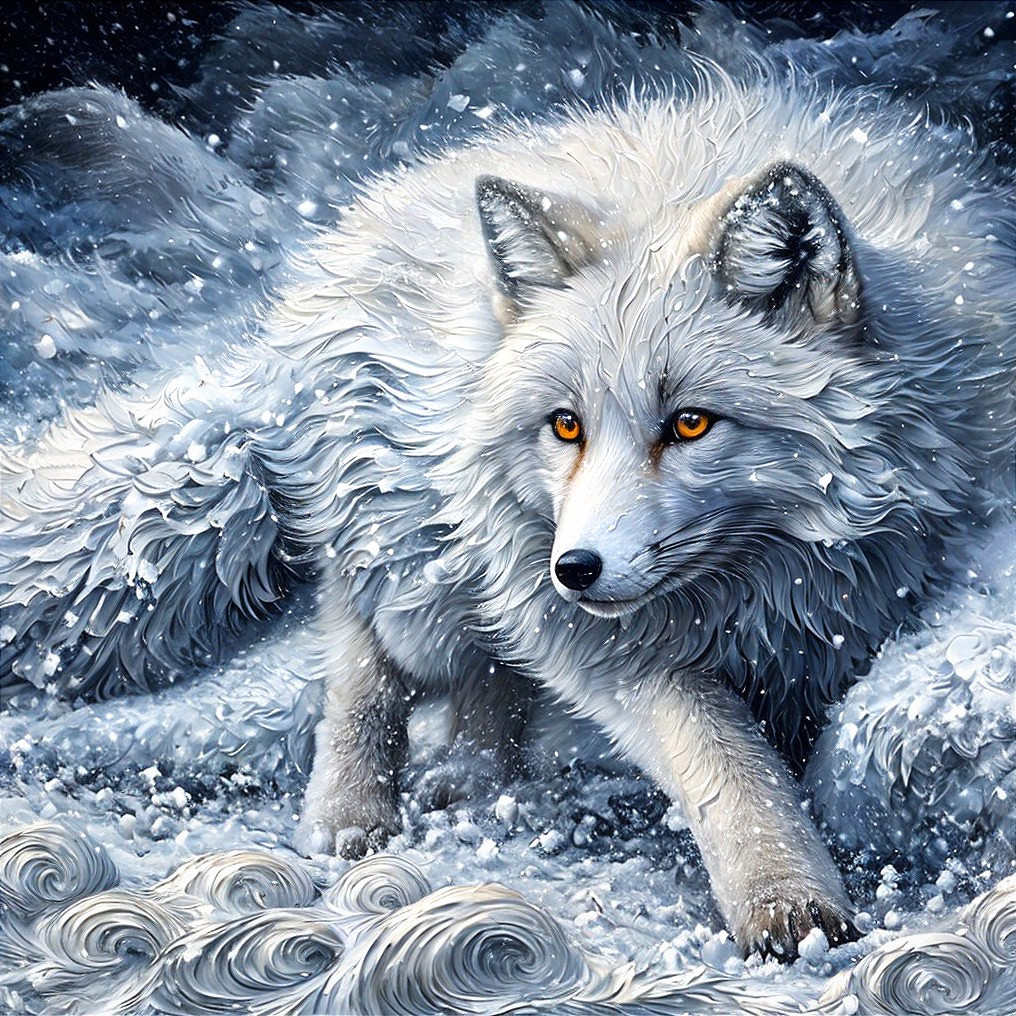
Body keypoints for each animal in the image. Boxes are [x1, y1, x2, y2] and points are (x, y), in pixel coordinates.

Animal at [2, 75, 1014, 960]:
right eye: (566, 425)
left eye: (690, 423)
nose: (579, 570)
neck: (769, 573)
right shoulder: (615, 645)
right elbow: (727, 766)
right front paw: (788, 906)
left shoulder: (880, 592)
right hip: (418, 571)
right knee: (366, 670)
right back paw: (349, 816)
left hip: (491, 569)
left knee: (495, 675)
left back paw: (479, 781)